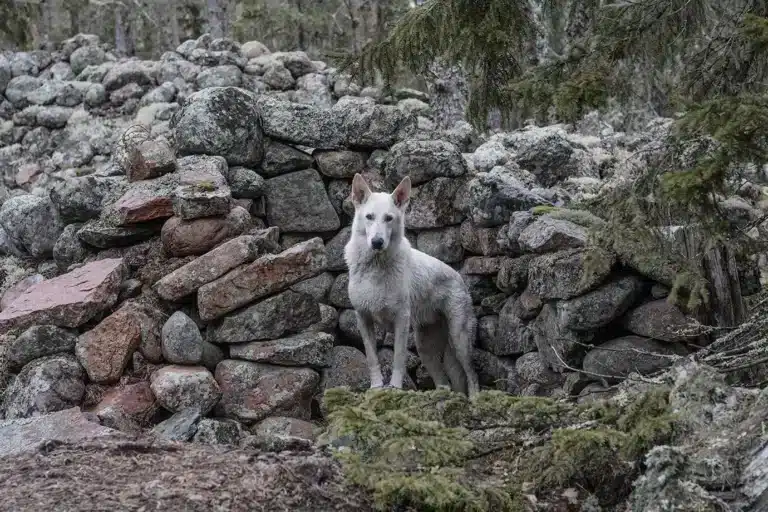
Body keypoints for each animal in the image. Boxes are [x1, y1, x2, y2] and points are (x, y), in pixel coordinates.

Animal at [344, 173, 476, 396]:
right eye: (369, 217)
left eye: (389, 218)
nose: (377, 242)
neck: (375, 267)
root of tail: (458, 277)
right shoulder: (363, 318)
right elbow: (372, 358)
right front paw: (376, 387)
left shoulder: (401, 320)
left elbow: (398, 358)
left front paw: (395, 387)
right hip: (425, 349)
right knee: (446, 381)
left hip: (459, 341)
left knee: (471, 375)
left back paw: (475, 399)